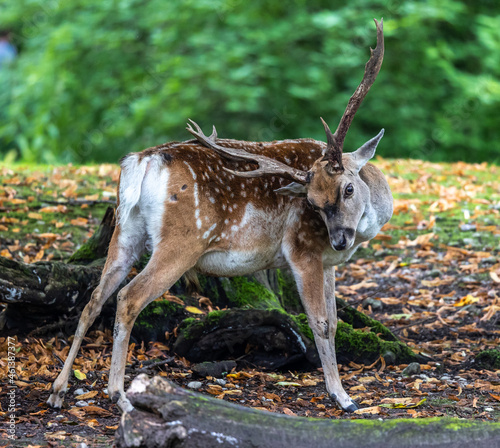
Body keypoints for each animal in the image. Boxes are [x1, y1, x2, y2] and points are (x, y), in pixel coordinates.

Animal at [48, 20, 390, 412]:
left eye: (348, 189)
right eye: (313, 204)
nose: (340, 239)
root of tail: (142, 162)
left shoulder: (328, 261)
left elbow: (333, 322)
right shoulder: (302, 248)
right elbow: (319, 322)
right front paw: (343, 397)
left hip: (125, 229)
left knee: (94, 299)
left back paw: (58, 391)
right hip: (181, 240)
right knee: (129, 297)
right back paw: (120, 396)